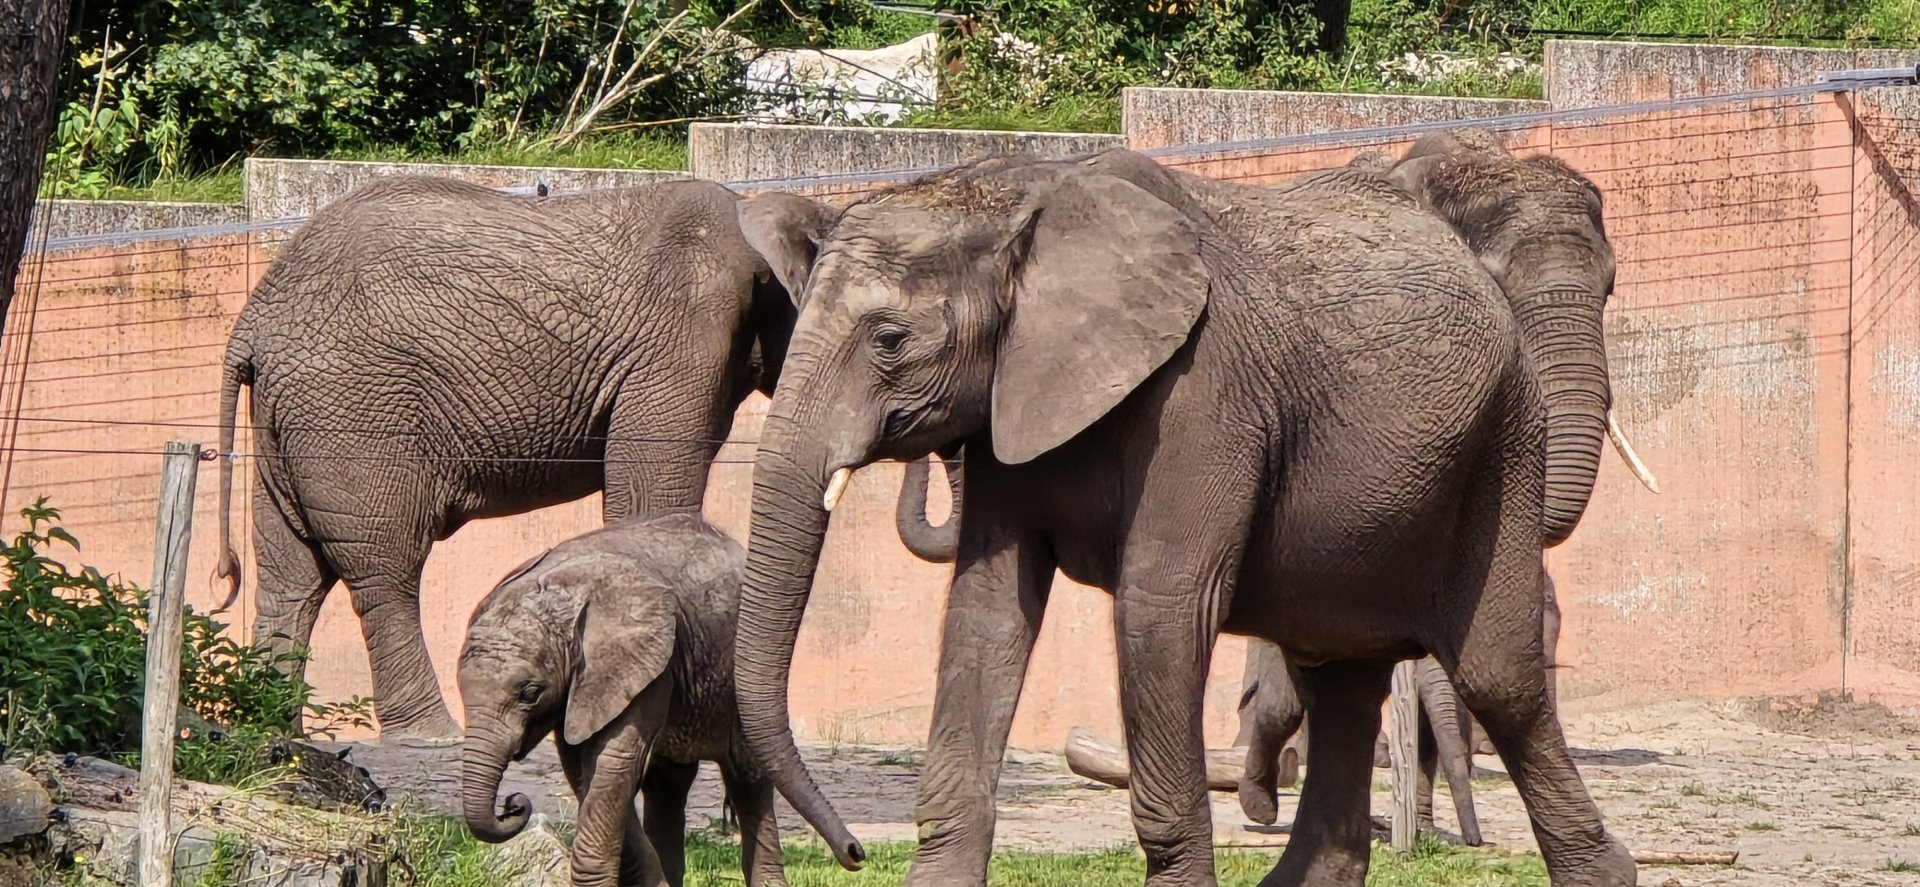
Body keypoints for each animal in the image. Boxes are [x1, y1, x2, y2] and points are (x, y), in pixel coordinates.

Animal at [211, 175, 828, 740]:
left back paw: (272, 726)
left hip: (289, 420)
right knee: (383, 567)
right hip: (353, 408)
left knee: (292, 572)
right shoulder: (684, 333)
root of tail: (253, 320)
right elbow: (651, 490)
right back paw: (431, 734)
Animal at [458, 511, 787, 887]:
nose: (514, 804)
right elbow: (585, 770)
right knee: (667, 786)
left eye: (530, 693)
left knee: (748, 780)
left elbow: (611, 763)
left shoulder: (645, 663)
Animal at [727, 147, 1635, 886]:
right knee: (1339, 675)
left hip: (1504, 446)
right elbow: (986, 612)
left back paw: (1609, 872)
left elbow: (1162, 607)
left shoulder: (1205, 393)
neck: (1026, 195)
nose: (853, 852)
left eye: (890, 339)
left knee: (1497, 678)